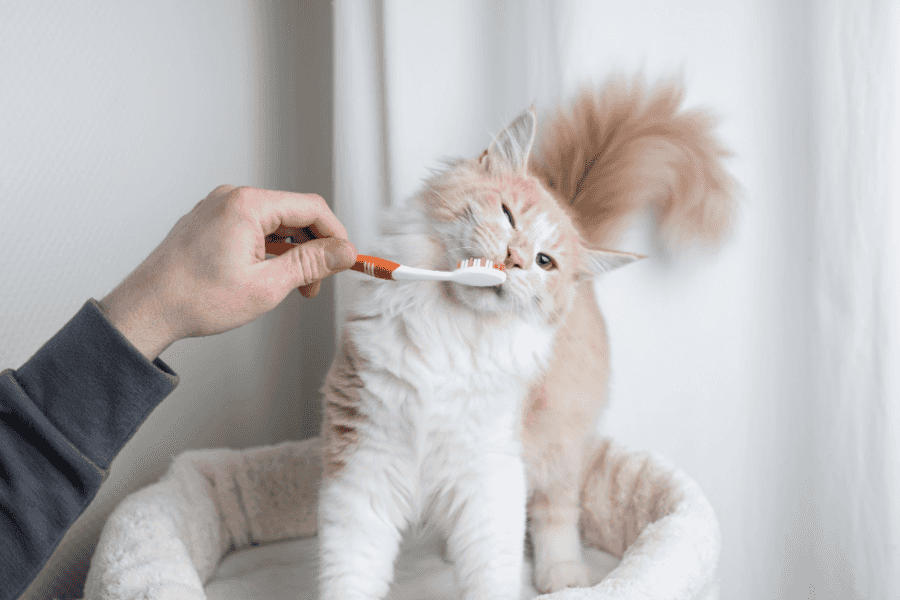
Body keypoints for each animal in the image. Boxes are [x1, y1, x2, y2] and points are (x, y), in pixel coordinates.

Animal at [316, 76, 732, 600]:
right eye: (508, 215)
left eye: (544, 262)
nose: (513, 259)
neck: (451, 329)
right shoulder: (365, 459)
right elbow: (352, 570)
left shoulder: (490, 470)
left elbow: (493, 569)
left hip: (558, 445)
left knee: (556, 513)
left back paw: (563, 577)